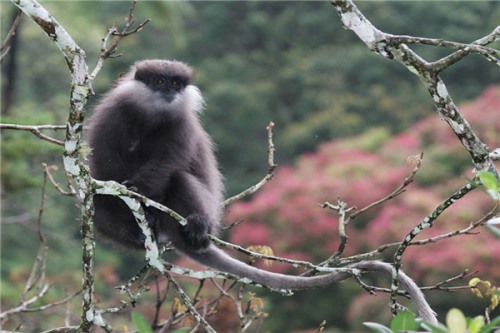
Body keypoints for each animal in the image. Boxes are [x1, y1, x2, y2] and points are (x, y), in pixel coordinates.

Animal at [86, 58, 438, 322]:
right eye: (159, 81)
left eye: (175, 84)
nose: (169, 92)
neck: (152, 116)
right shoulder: (113, 114)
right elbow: (103, 163)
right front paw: (127, 192)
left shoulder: (180, 125)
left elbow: (166, 163)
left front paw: (139, 191)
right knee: (103, 203)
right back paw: (138, 230)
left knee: (178, 179)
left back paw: (196, 227)